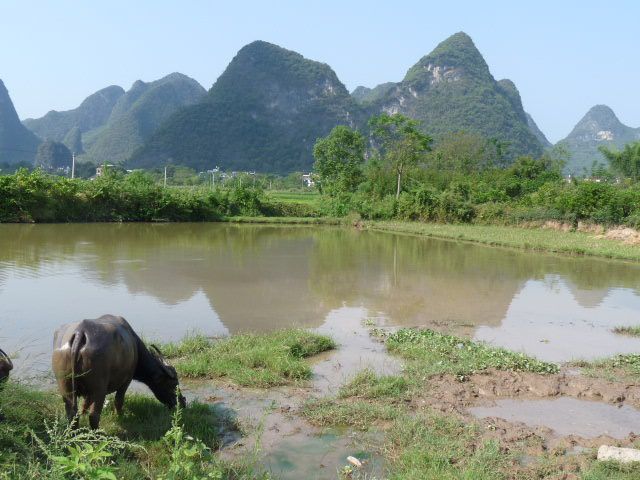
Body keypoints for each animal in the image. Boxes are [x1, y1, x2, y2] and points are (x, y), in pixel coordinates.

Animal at [52, 314, 185, 430]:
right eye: (173, 384)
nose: (182, 403)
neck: (135, 346)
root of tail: (80, 332)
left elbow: (84, 404)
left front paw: (83, 411)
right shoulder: (127, 380)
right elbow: (119, 400)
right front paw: (120, 416)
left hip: (66, 388)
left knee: (72, 414)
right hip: (99, 388)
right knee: (94, 415)